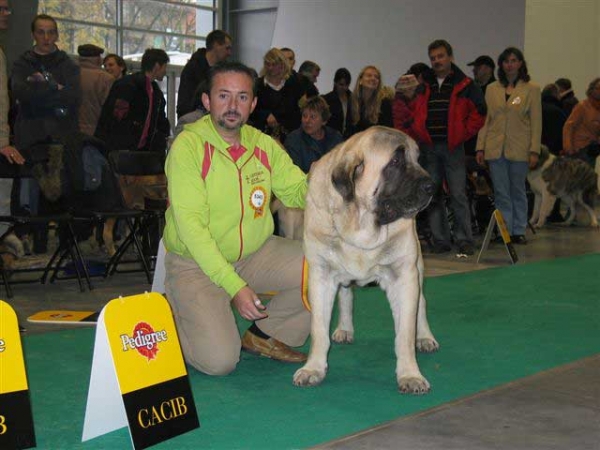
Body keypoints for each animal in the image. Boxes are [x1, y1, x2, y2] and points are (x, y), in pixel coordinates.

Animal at [292, 126, 438, 394]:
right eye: (395, 161)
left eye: (417, 159)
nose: (432, 186)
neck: (360, 225)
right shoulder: (321, 275)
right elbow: (318, 328)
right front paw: (313, 368)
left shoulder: (404, 276)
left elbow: (405, 333)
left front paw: (410, 374)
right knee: (346, 295)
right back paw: (344, 328)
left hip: (418, 269)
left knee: (421, 303)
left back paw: (424, 337)